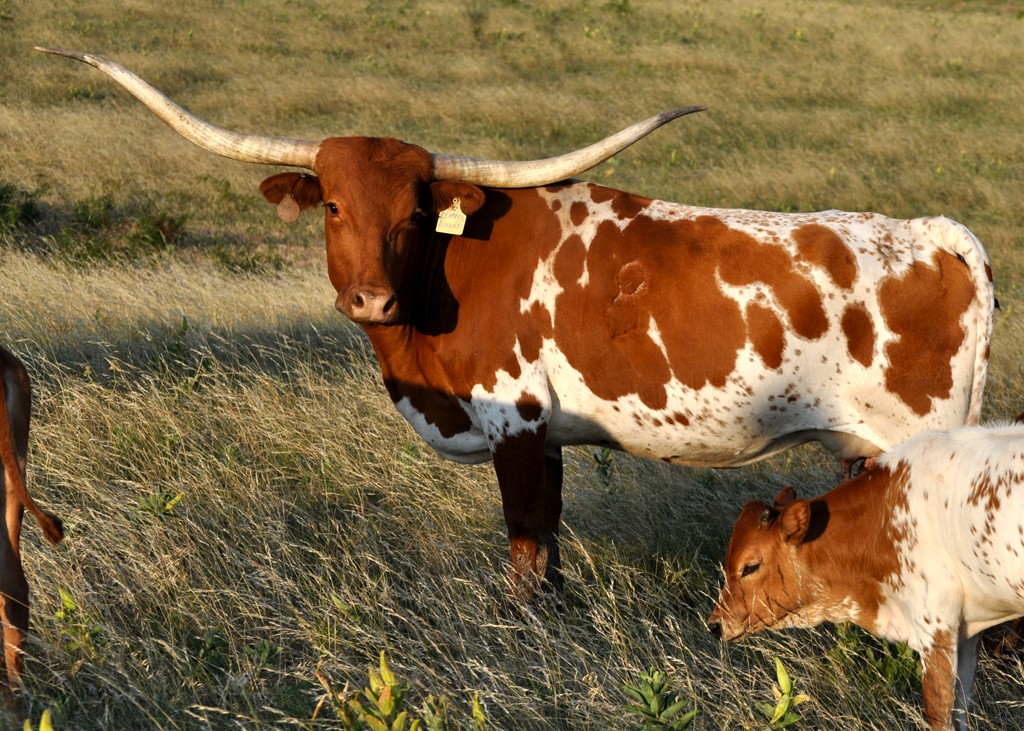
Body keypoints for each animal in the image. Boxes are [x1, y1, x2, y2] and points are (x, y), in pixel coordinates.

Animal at [36, 48, 995, 599]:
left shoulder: (518, 427)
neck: (439, 284)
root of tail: (935, 233)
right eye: (335, 205)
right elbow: (553, 550)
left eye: (415, 212)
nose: (370, 300)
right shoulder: (552, 437)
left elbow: (528, 552)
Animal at [707, 423, 1024, 731]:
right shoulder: (967, 630)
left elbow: (940, 713)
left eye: (750, 567)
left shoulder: (936, 629)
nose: (715, 625)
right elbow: (961, 708)